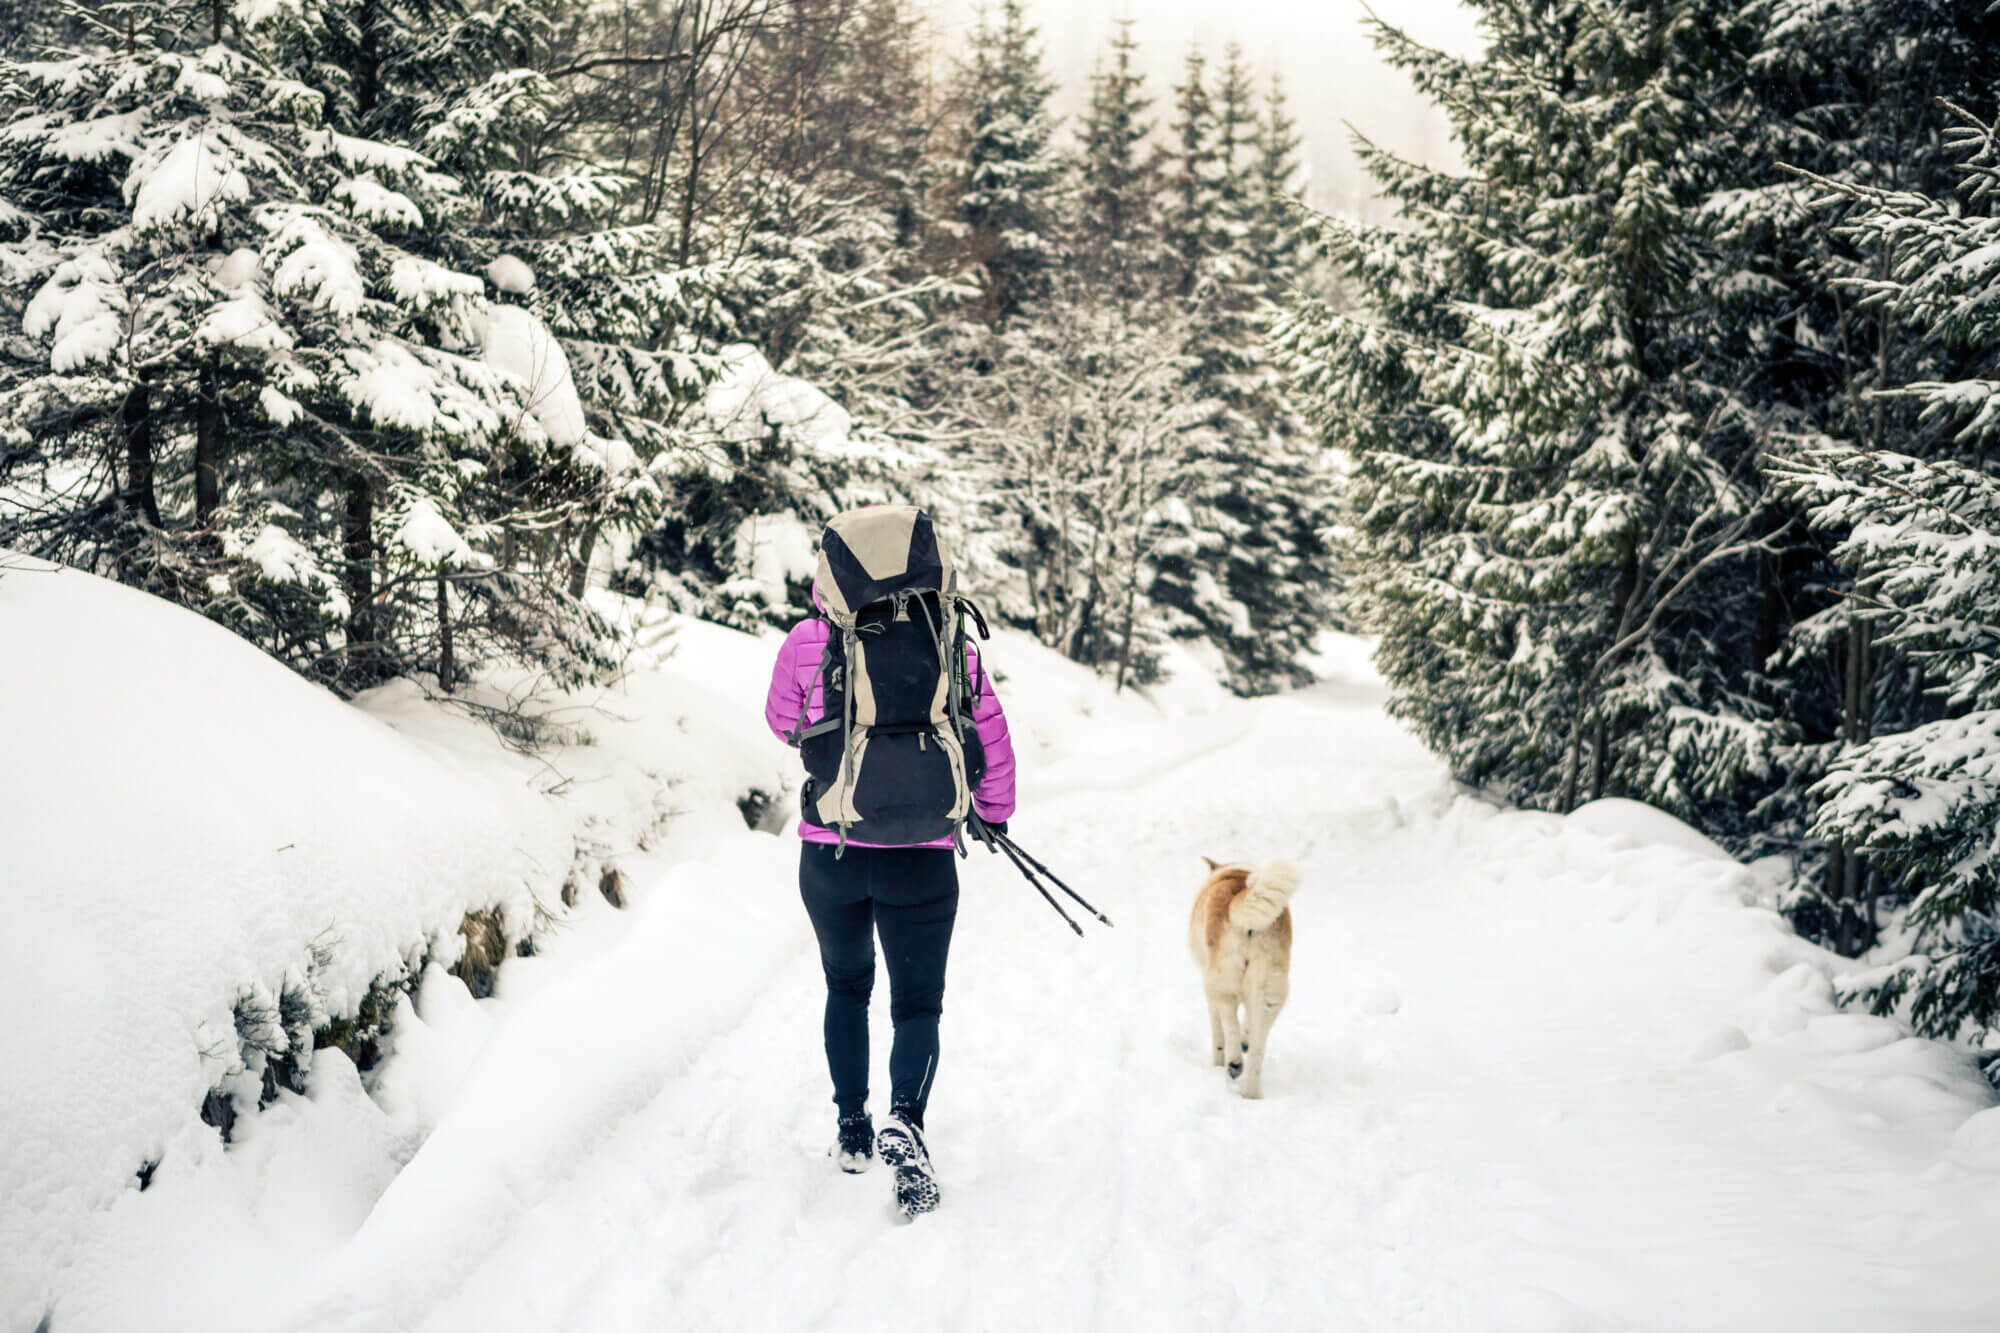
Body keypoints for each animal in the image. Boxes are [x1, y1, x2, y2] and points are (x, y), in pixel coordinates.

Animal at [1184, 856, 1296, 1096]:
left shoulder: (1211, 993)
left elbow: (1219, 1031)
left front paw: (1218, 1063)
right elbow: (1248, 1025)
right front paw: (1246, 1041)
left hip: (1220, 983)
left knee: (1230, 1026)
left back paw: (1234, 1063)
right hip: (1270, 992)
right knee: (1257, 1051)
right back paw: (1251, 1094)